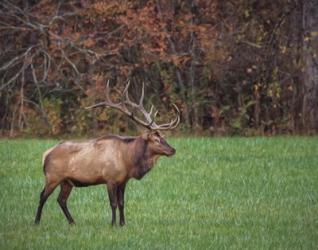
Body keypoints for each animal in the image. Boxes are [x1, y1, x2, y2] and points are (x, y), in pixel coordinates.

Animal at [34, 81, 180, 226]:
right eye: (156, 140)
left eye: (163, 137)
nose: (173, 150)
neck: (128, 160)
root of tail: (46, 154)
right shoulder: (110, 179)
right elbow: (113, 203)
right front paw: (113, 224)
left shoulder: (123, 181)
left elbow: (121, 203)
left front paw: (123, 224)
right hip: (53, 177)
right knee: (42, 196)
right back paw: (37, 221)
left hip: (67, 181)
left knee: (61, 200)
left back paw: (72, 222)